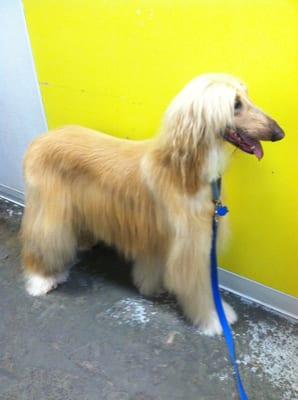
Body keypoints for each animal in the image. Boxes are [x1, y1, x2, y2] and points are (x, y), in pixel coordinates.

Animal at [21, 74, 284, 334]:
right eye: (235, 104)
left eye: (247, 96)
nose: (279, 133)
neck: (184, 172)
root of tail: (39, 141)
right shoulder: (193, 245)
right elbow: (200, 288)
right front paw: (213, 319)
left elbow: (152, 266)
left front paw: (150, 285)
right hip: (50, 210)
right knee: (42, 241)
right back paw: (40, 279)